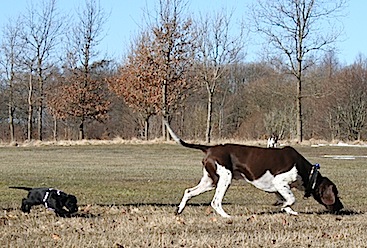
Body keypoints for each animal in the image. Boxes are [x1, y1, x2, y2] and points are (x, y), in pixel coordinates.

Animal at [165, 122, 344, 217]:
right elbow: (291, 199)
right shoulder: (280, 182)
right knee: (215, 202)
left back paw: (179, 210)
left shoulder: (278, 188)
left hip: (210, 181)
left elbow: (286, 200)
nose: (341, 207)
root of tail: (209, 148)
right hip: (225, 178)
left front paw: (288, 211)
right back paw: (226, 216)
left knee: (188, 191)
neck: (307, 172)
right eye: (336, 194)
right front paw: (284, 207)